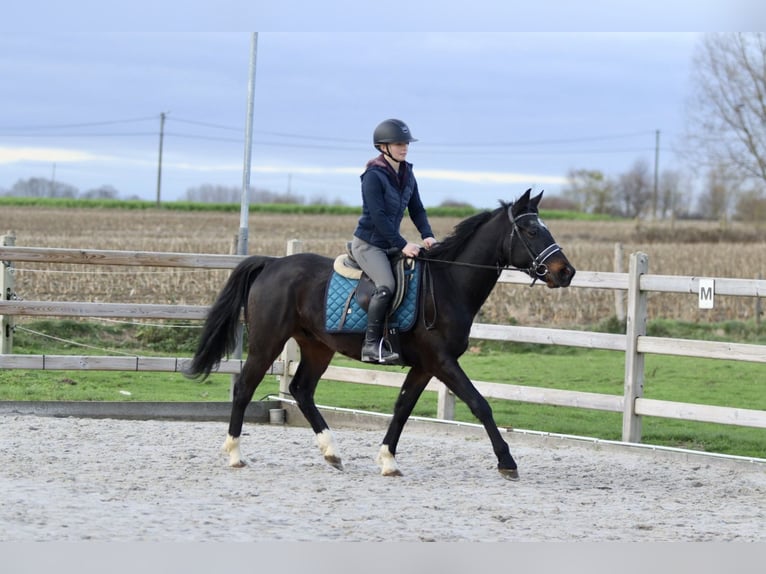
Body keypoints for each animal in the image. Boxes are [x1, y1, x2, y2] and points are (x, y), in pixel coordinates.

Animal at [185, 188, 575, 480]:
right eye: (531, 231)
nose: (566, 272)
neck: (449, 282)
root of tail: (273, 263)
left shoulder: (425, 366)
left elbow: (402, 407)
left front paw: (388, 460)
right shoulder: (442, 361)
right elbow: (480, 404)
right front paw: (507, 462)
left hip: (317, 346)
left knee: (301, 390)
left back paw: (332, 453)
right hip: (268, 343)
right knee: (245, 387)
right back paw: (234, 454)